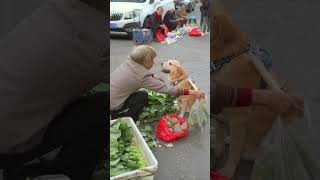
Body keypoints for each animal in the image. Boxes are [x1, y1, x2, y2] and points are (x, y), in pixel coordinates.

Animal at [212, 12, 288, 177]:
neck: (223, 62)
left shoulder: (239, 120)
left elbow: (234, 152)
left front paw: (227, 171)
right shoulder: (220, 114)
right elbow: (219, 137)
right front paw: (217, 152)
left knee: (248, 151)